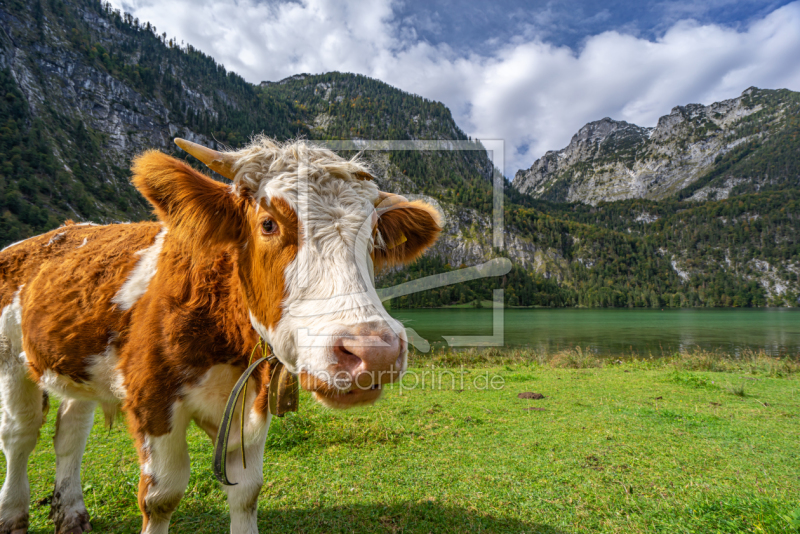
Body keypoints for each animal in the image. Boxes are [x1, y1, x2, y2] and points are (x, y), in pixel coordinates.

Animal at [0, 136, 444, 532]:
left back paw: (71, 516)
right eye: (268, 223)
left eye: (373, 237)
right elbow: (161, 497)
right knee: (20, 436)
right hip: (10, 362)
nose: (375, 352)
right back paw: (13, 516)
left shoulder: (254, 402)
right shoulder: (151, 399)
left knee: (70, 434)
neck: (226, 345)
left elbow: (246, 491)